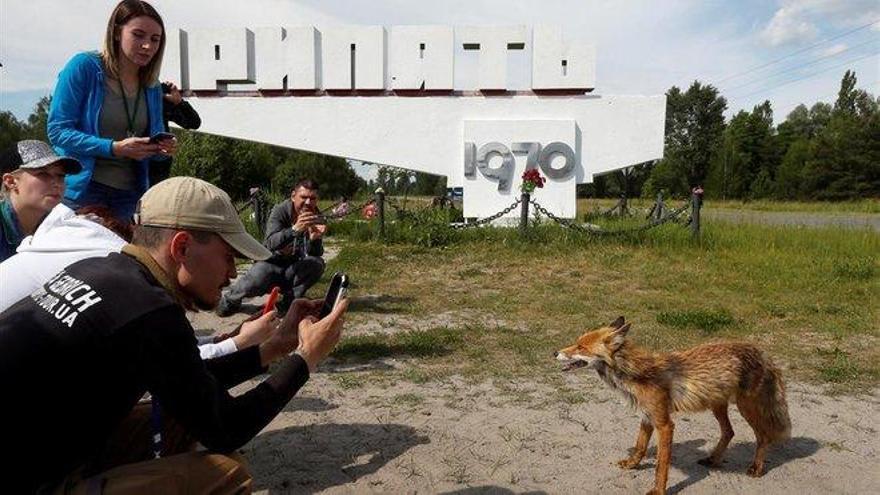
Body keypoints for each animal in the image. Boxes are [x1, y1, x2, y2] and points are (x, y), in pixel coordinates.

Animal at [556, 318, 792, 495]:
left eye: (581, 347)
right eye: (576, 342)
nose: (554, 353)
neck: (637, 373)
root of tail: (761, 351)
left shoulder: (665, 424)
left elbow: (661, 465)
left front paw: (658, 491)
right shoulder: (648, 416)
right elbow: (640, 446)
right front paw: (632, 464)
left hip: (746, 407)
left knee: (763, 436)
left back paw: (756, 468)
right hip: (717, 405)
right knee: (729, 432)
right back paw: (713, 459)